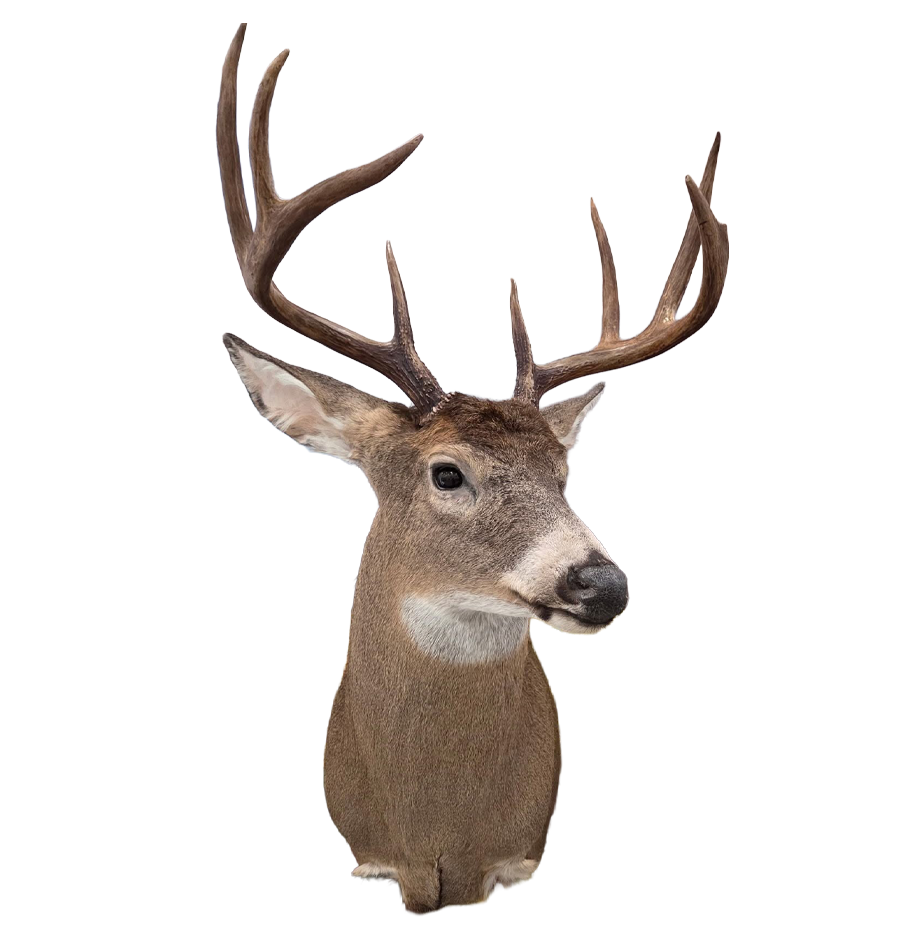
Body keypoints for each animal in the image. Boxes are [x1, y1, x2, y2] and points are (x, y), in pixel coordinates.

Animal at [217, 23, 728, 914]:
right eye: (446, 473)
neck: (441, 834)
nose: (601, 584)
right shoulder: (379, 860)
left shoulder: (516, 860)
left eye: (561, 469)